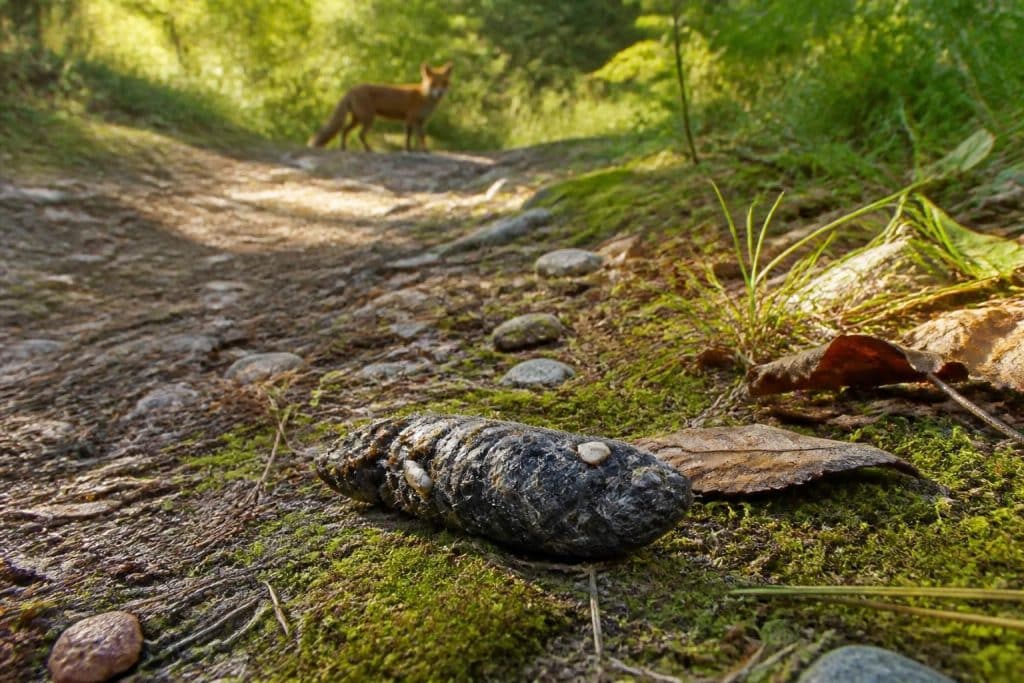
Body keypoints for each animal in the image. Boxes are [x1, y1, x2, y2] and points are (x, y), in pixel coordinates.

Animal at [307, 62, 453, 152]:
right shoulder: (413, 119)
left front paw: (408, 150)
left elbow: (409, 138)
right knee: (360, 135)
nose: (439, 93)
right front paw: (424, 151)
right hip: (368, 119)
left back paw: (343, 148)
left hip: (357, 119)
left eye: (444, 83)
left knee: (344, 131)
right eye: (433, 84)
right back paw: (368, 150)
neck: (424, 96)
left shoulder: (415, 121)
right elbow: (420, 137)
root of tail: (352, 89)